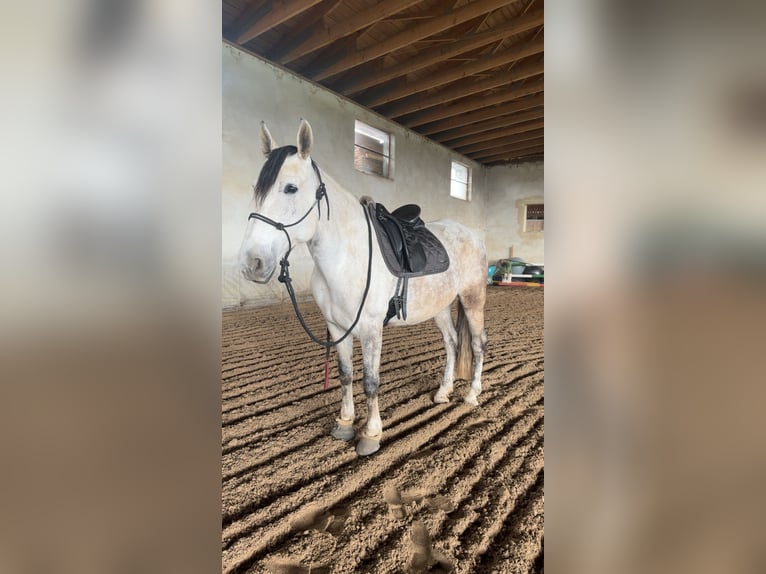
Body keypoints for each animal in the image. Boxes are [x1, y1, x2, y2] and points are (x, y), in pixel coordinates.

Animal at [239, 119, 488, 456]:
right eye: (257, 190)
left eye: (290, 188)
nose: (252, 263)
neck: (346, 257)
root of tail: (472, 233)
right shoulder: (336, 326)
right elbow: (345, 375)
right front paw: (344, 424)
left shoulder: (371, 328)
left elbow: (371, 381)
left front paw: (371, 434)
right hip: (440, 306)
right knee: (451, 343)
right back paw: (442, 393)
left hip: (473, 299)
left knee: (477, 344)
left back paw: (472, 395)